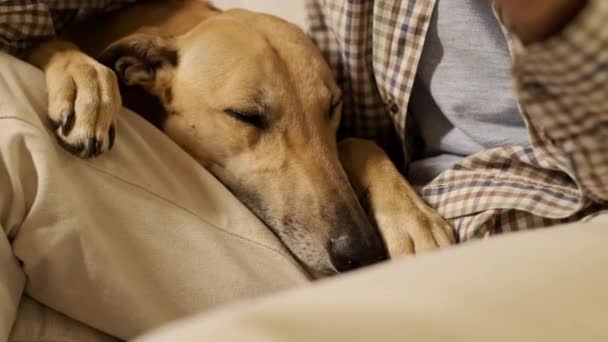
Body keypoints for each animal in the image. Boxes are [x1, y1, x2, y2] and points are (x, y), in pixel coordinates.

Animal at [27, 0, 456, 276]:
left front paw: (411, 218)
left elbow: (358, 142)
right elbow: (47, 43)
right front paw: (83, 77)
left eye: (333, 106)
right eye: (246, 116)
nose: (361, 252)